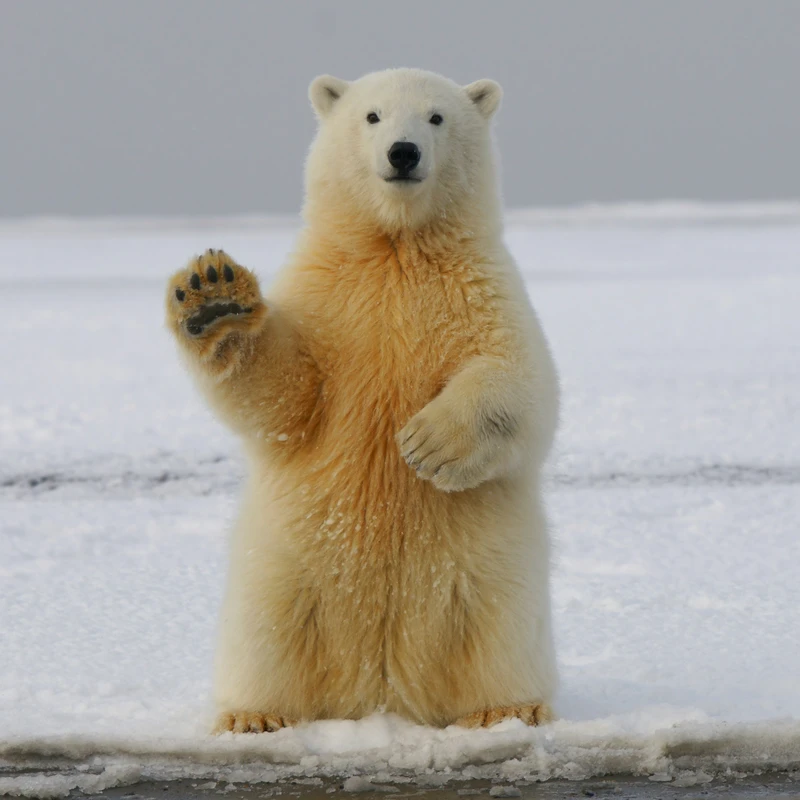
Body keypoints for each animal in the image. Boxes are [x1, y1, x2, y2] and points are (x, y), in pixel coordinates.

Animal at [165, 68, 560, 733]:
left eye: (436, 117)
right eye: (372, 116)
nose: (403, 153)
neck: (395, 247)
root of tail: (381, 691)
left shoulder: (482, 290)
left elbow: (521, 381)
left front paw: (427, 444)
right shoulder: (328, 298)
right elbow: (287, 396)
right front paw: (214, 297)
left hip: (489, 572)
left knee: (498, 631)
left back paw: (508, 709)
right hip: (284, 568)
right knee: (266, 634)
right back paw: (253, 716)